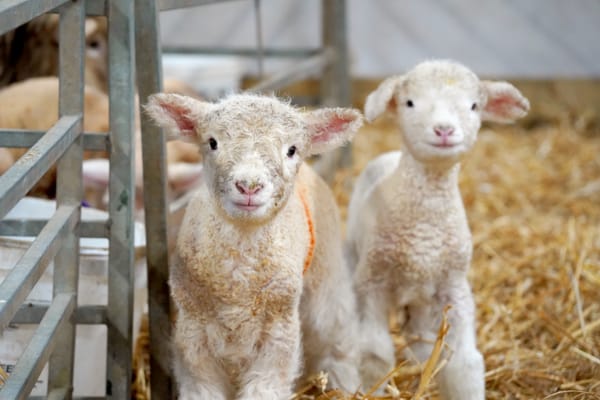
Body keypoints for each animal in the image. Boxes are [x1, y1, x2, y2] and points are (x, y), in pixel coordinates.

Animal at [144, 92, 366, 398]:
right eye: (212, 142)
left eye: (292, 150)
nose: (249, 186)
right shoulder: (193, 336)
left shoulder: (278, 335)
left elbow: (265, 387)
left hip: (326, 273)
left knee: (337, 332)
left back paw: (346, 383)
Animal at [346, 60, 528, 400]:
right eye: (409, 102)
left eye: (474, 106)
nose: (444, 130)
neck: (425, 227)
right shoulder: (372, 284)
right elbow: (373, 354)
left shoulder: (453, 288)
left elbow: (465, 363)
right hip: (354, 254)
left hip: (422, 297)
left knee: (417, 332)